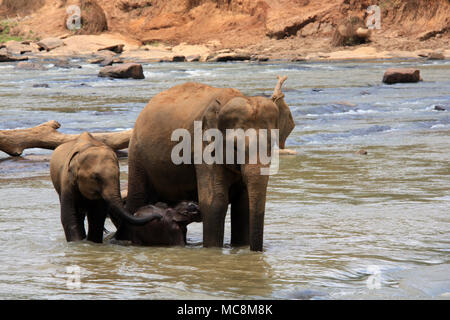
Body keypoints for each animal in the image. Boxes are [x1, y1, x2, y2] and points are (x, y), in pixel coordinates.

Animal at [121, 75, 296, 252]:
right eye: (234, 146)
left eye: (271, 145)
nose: (257, 252)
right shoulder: (203, 146)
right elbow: (215, 203)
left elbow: (243, 206)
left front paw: (240, 247)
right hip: (137, 155)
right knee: (137, 197)